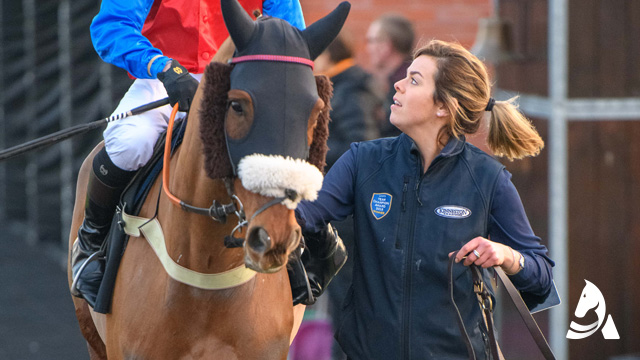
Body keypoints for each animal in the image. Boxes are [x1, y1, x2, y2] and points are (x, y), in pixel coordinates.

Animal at [65, 1, 350, 358]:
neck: (207, 269)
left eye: (315, 111)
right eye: (237, 105)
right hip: (92, 337)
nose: (274, 236)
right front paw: (178, 80)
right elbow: (113, 22)